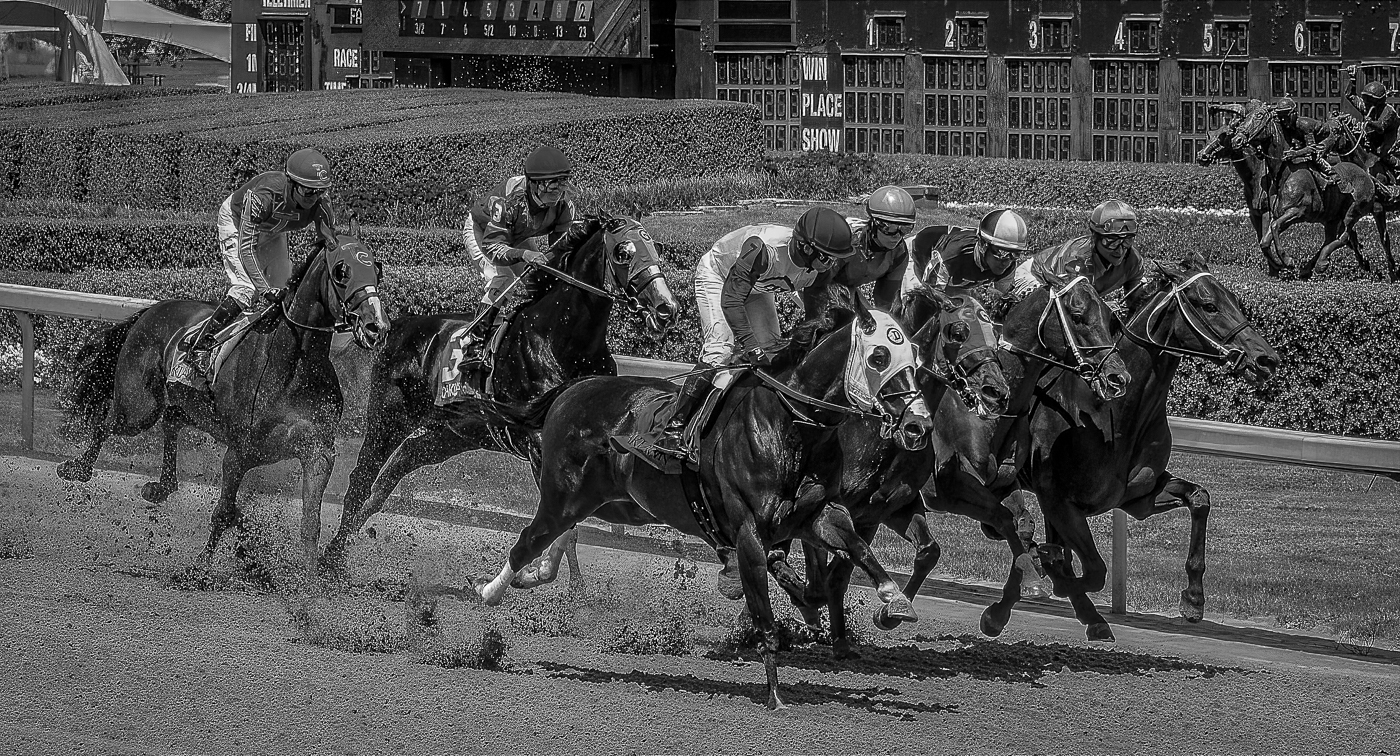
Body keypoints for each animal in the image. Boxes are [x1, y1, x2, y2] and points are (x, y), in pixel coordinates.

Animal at [58, 228, 389, 565]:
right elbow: (224, 512)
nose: (377, 326)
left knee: (171, 421)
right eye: (341, 272)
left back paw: (161, 487)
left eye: (376, 269)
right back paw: (77, 468)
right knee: (107, 424)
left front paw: (309, 575)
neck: (295, 364)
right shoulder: (239, 452)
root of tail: (152, 309)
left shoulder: (317, 452)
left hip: (189, 405)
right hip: (139, 407)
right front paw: (200, 568)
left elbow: (309, 524)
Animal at [327, 212, 677, 574]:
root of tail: (395, 326)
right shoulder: (539, 446)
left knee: (392, 474)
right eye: (623, 252)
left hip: (451, 434)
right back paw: (331, 559)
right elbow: (562, 524)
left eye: (655, 246)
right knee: (361, 480)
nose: (666, 308)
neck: (563, 340)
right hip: (389, 417)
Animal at [470, 305, 940, 708]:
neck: (788, 426)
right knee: (528, 539)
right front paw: (775, 698)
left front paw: (893, 602)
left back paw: (531, 577)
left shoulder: (817, 514)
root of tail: (571, 390)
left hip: (617, 504)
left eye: (916, 357)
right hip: (562, 495)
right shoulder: (749, 529)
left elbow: (856, 548)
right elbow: (765, 614)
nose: (919, 425)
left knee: (560, 534)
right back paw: (490, 592)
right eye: (879, 355)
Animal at [1019, 252, 1282, 638]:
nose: (1266, 359)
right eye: (1209, 305)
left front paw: (1193, 599)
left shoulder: (1136, 497)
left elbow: (1200, 498)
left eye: (1235, 300)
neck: (1112, 412)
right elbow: (1084, 569)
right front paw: (1046, 573)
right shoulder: (1057, 498)